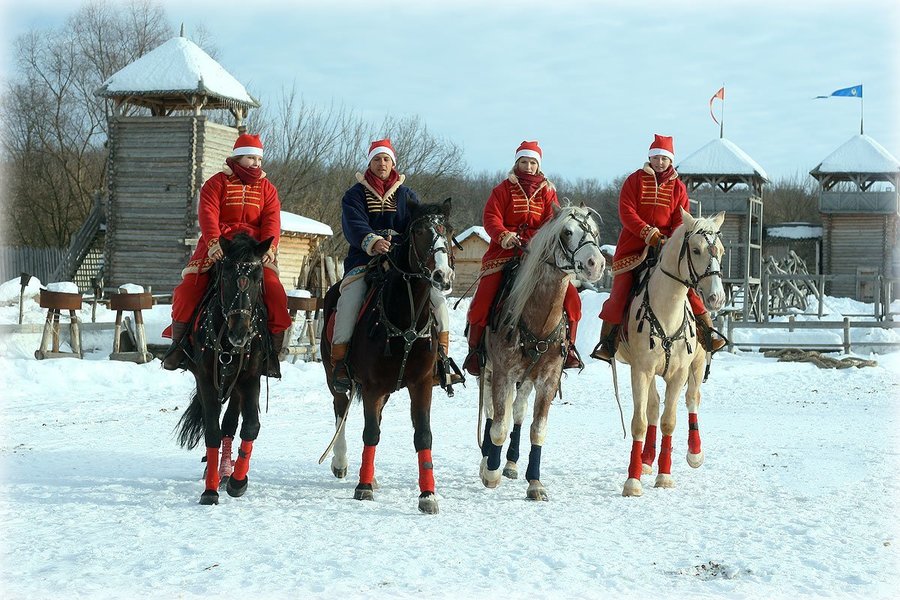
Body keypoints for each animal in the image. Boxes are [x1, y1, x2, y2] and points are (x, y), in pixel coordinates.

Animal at [175, 232, 274, 504]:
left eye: (258, 278)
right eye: (227, 276)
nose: (239, 333)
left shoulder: (250, 379)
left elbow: (250, 426)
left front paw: (238, 481)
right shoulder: (206, 379)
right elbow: (212, 431)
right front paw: (210, 490)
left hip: (235, 385)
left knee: (230, 424)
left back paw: (227, 471)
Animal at [318, 199, 458, 512]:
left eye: (449, 230)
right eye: (418, 230)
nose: (442, 276)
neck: (406, 322)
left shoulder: (420, 385)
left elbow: (423, 435)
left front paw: (428, 495)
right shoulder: (371, 386)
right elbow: (370, 432)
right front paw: (363, 487)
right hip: (335, 378)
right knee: (340, 409)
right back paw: (341, 462)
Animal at [478, 204, 604, 500]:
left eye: (594, 230)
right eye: (568, 231)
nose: (595, 263)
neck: (538, 319)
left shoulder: (548, 379)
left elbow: (537, 429)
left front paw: (534, 482)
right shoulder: (502, 373)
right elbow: (498, 426)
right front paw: (491, 472)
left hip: (527, 379)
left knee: (519, 411)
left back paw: (511, 463)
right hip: (488, 371)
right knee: (491, 412)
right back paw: (488, 459)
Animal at [616, 209, 728, 500]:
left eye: (721, 251)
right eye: (696, 250)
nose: (716, 298)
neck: (667, 310)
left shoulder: (678, 374)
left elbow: (669, 421)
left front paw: (665, 476)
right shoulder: (641, 370)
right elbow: (642, 421)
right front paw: (633, 480)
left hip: (697, 365)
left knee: (692, 399)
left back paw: (695, 452)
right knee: (653, 407)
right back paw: (646, 458)